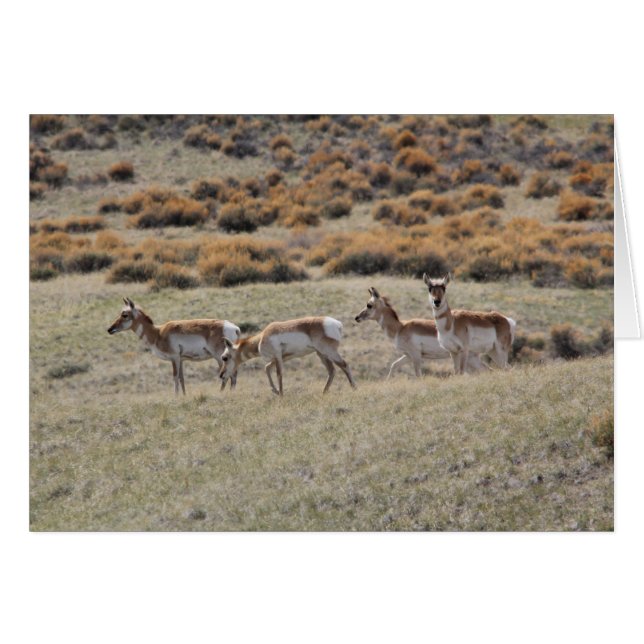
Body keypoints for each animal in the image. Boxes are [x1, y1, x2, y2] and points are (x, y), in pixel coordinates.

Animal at [107, 297, 241, 394]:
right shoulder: (181, 360)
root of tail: (234, 327)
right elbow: (182, 378)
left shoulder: (174, 358)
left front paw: (175, 396)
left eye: (124, 314)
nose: (110, 329)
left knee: (227, 376)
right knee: (233, 375)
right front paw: (183, 396)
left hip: (220, 358)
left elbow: (175, 377)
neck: (158, 333)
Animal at [219, 316, 357, 395]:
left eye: (225, 357)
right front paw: (275, 391)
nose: (221, 375)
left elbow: (279, 374)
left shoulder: (277, 357)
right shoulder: (280, 358)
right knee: (332, 370)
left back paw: (354, 388)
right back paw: (324, 392)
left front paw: (281, 394)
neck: (261, 338)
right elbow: (267, 368)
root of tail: (337, 324)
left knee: (344, 365)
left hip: (328, 352)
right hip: (321, 354)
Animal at [354, 287, 485, 377]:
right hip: (472, 358)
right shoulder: (407, 356)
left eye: (369, 305)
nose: (356, 317)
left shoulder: (416, 355)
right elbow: (394, 365)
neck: (400, 328)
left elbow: (418, 375)